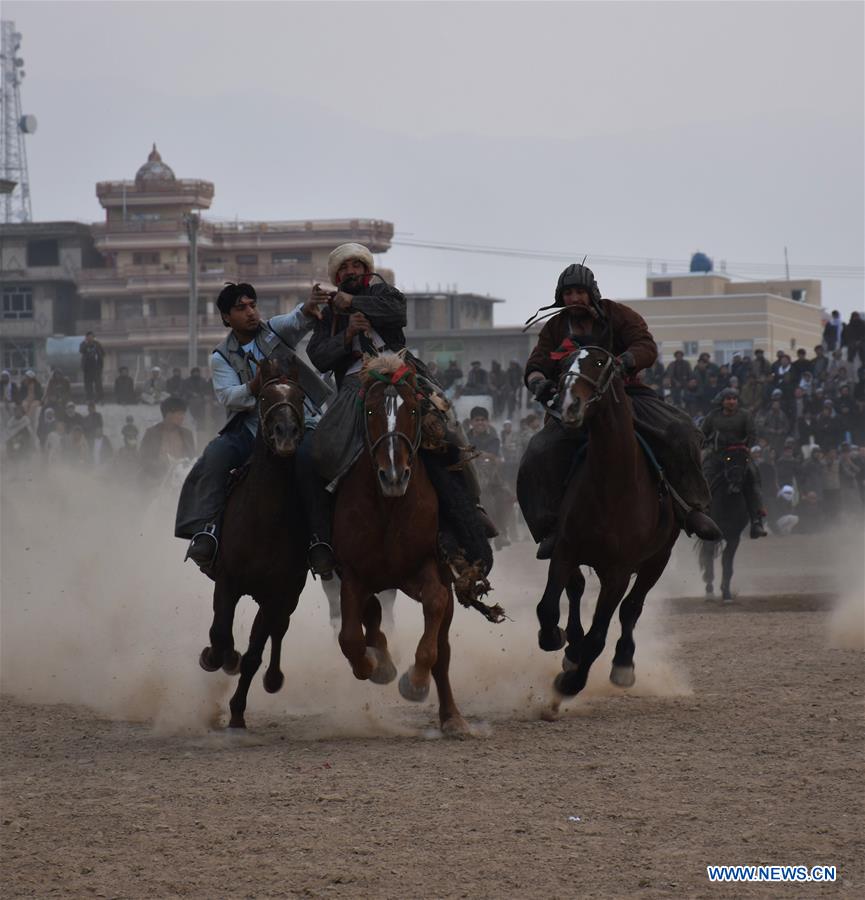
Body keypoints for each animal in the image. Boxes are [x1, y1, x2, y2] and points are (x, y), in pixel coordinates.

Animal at [197, 356, 308, 728]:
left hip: (288, 597)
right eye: (263, 397)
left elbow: (254, 653)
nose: (286, 435)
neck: (264, 520)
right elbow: (220, 633)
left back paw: (273, 678)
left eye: (300, 396)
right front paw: (217, 657)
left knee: (279, 630)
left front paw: (236, 713)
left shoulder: (277, 594)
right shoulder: (227, 581)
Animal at [330, 354, 470, 740]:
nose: (394, 475)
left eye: (412, 409)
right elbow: (350, 637)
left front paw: (415, 682)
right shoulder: (352, 573)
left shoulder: (427, 567)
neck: (390, 507)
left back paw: (452, 717)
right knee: (373, 617)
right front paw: (376, 665)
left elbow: (435, 609)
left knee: (443, 647)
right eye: (372, 411)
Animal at [528, 344, 680, 704]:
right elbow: (548, 607)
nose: (569, 406)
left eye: (600, 363)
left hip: (658, 560)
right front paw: (555, 640)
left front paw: (570, 684)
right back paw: (571, 649)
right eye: (563, 366)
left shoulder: (619, 572)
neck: (611, 484)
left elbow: (599, 634)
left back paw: (623, 662)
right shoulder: (565, 550)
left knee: (631, 608)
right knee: (576, 591)